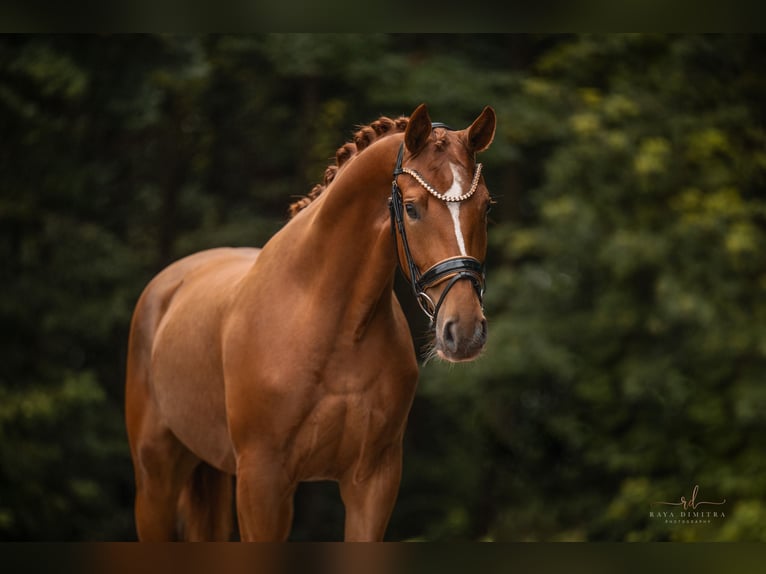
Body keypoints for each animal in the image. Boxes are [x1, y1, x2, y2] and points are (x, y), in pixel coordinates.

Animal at [126, 104, 498, 544]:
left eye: (486, 206)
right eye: (411, 207)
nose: (465, 330)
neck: (331, 326)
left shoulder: (373, 482)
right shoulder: (262, 482)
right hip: (155, 480)